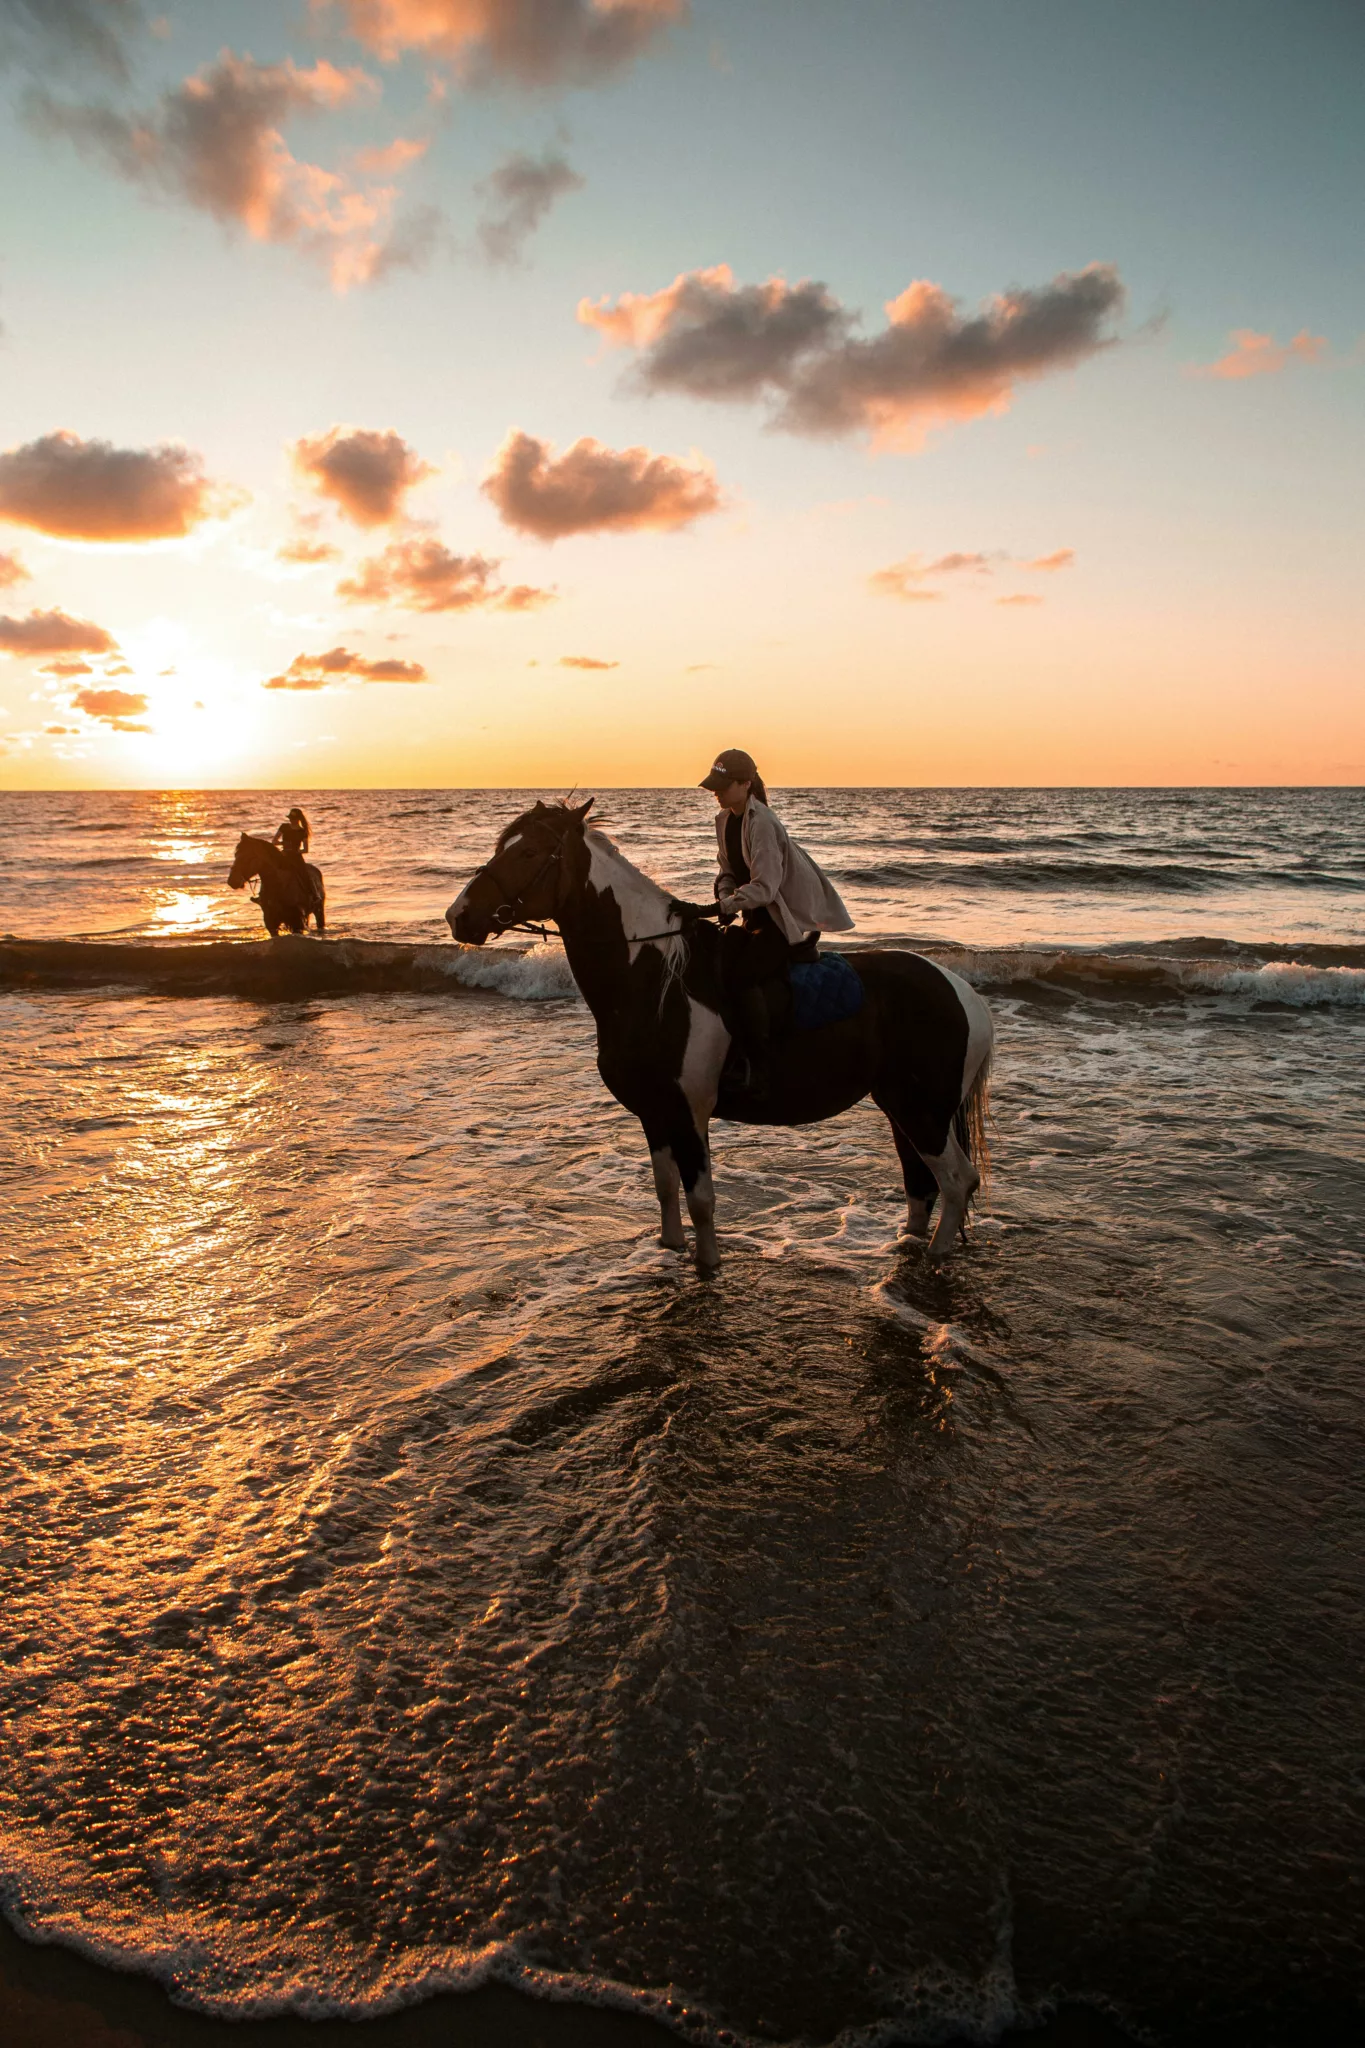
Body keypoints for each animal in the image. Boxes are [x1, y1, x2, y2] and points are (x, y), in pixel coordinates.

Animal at [448, 802, 994, 1269]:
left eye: (528, 853)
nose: (458, 917)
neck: (652, 977)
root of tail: (964, 993)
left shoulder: (690, 1110)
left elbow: (702, 1198)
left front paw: (707, 1264)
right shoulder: (655, 1110)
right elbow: (665, 1187)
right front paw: (669, 1248)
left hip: (923, 1110)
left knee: (956, 1180)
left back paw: (936, 1255)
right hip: (900, 1105)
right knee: (921, 1184)